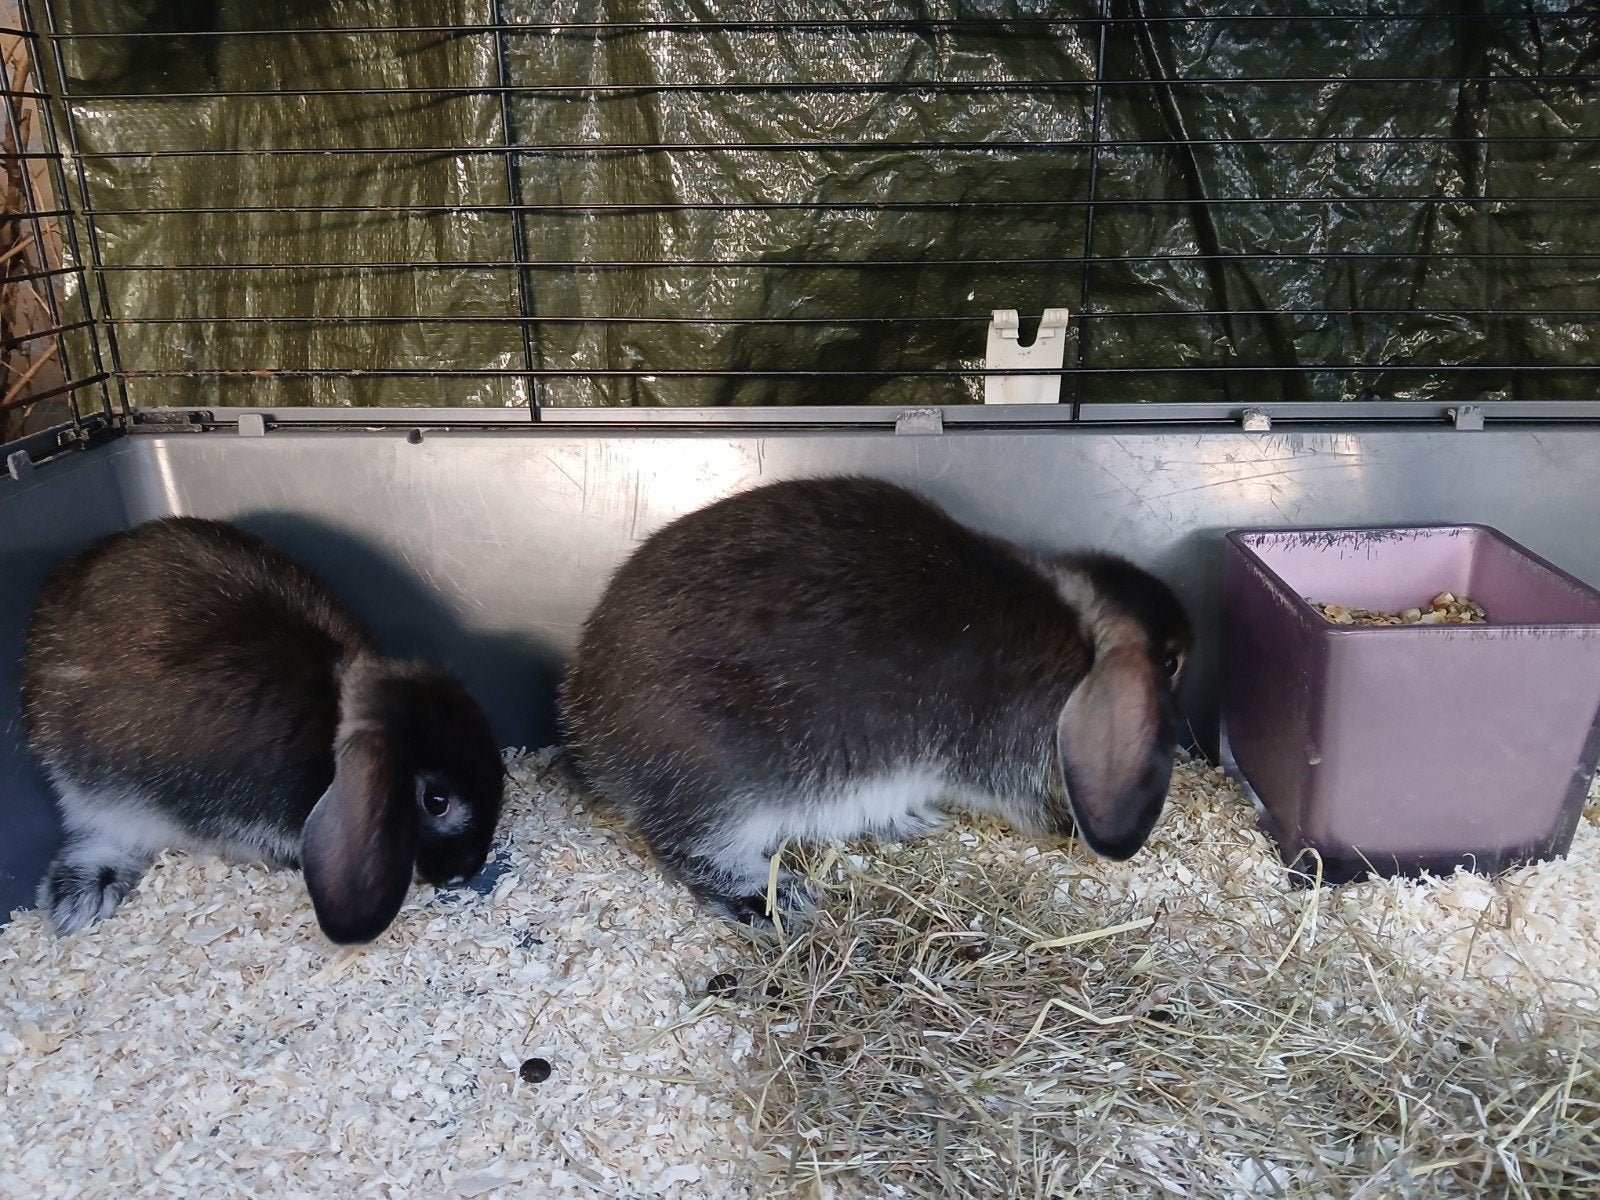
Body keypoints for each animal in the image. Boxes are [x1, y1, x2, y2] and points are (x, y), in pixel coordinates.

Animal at [559, 475, 1193, 925]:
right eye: (1172, 662)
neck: (1077, 632)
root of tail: (588, 727)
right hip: (723, 787)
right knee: (690, 850)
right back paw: (772, 900)